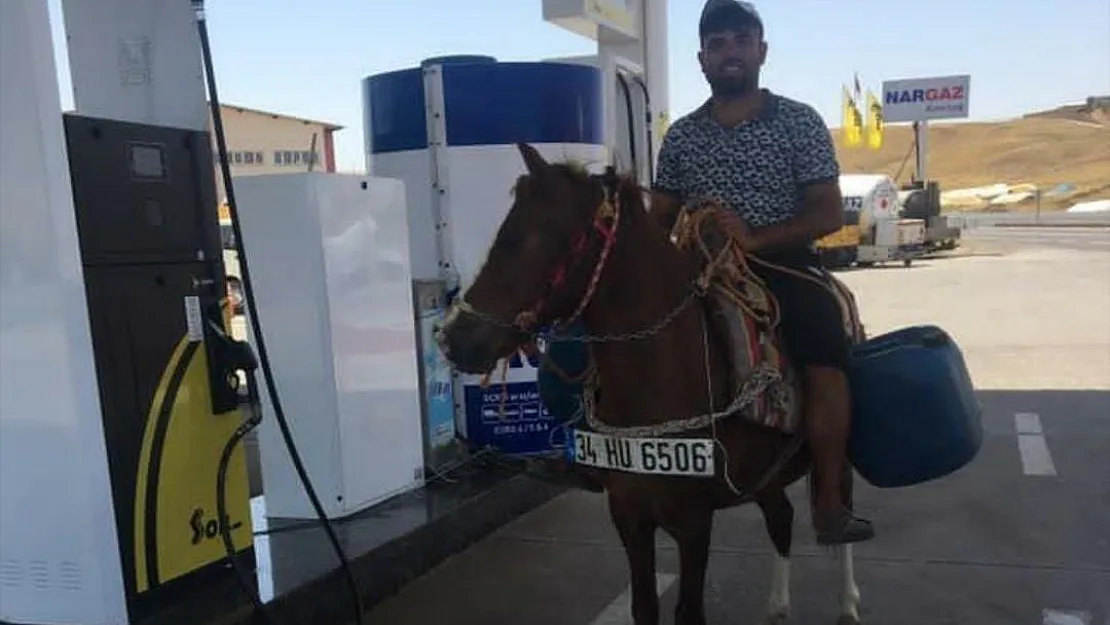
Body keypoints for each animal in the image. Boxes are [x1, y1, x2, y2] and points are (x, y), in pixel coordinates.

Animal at [437, 143, 861, 625]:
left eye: (534, 238)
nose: (453, 337)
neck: (659, 377)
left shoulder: (693, 522)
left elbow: (688, 612)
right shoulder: (628, 515)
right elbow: (643, 607)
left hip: (838, 455)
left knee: (836, 508)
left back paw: (847, 598)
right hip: (763, 477)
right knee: (781, 519)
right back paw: (777, 607)